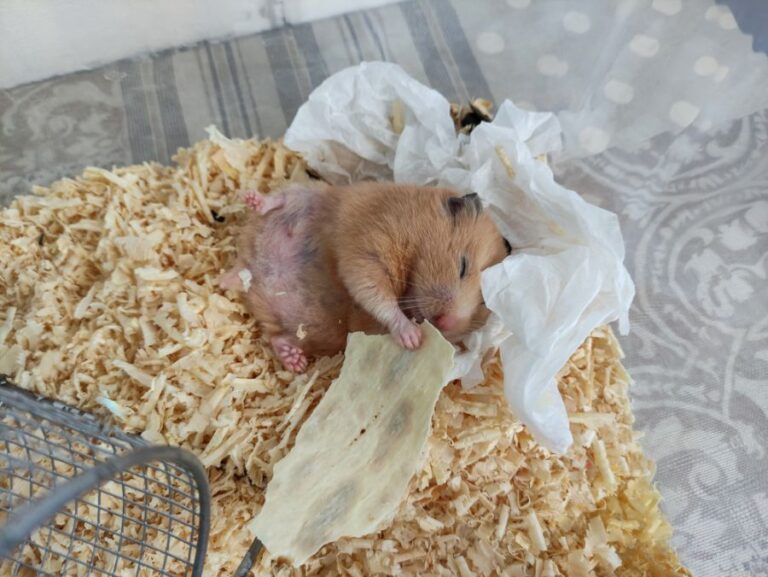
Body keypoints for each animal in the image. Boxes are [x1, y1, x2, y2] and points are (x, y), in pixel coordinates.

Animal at [219, 182, 511, 373]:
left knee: (279, 338)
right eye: (462, 266)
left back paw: (295, 361)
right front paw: (413, 338)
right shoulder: (369, 250)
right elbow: (378, 297)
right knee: (280, 198)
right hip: (307, 194)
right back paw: (253, 199)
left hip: (309, 331)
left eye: (483, 304)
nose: (447, 323)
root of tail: (251, 269)